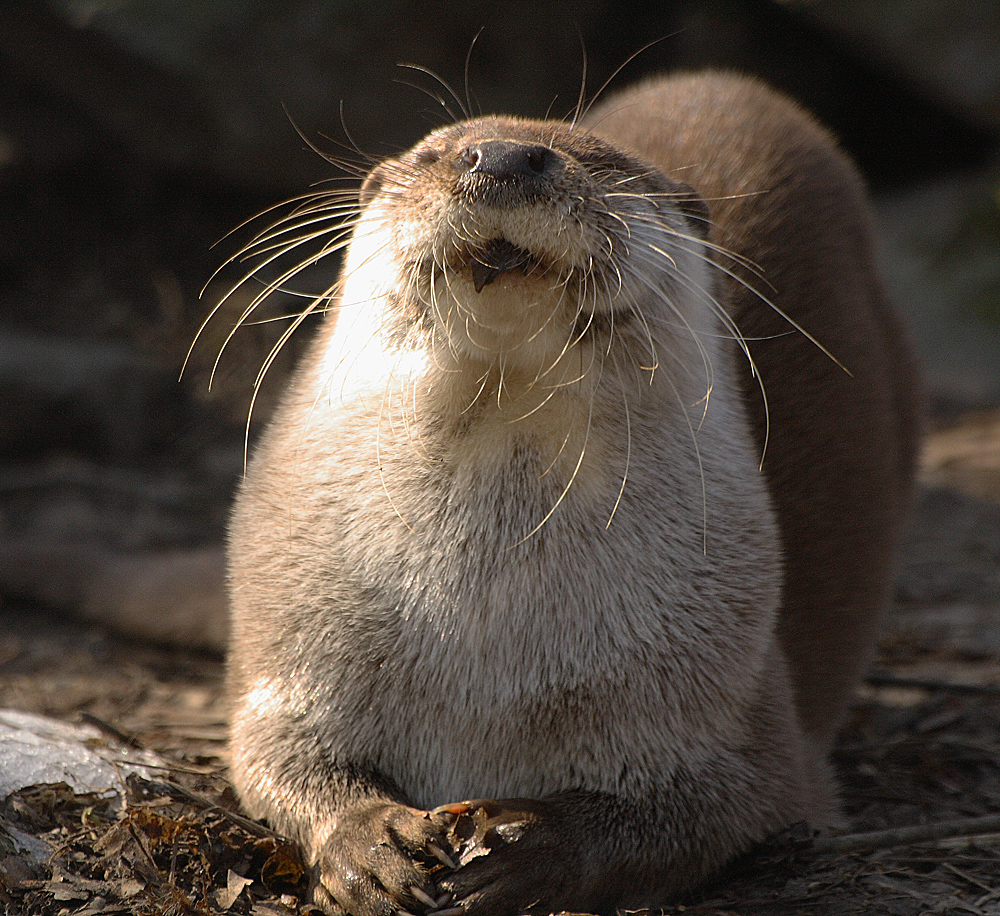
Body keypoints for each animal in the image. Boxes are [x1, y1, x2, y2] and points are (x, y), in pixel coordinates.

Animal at [223, 73, 916, 916]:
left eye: (604, 161)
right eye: (435, 150)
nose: (504, 156)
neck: (480, 655)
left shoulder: (732, 710)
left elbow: (720, 808)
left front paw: (531, 844)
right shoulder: (288, 656)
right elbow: (272, 758)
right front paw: (369, 842)